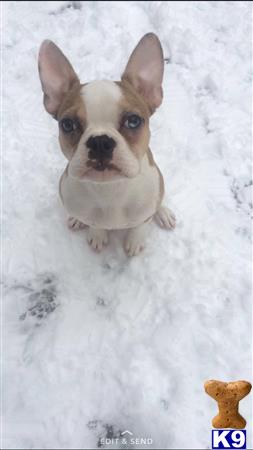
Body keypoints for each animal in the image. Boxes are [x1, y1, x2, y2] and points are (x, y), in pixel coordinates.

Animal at [38, 33, 175, 255]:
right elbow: (95, 225)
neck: (109, 191)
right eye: (67, 124)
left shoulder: (144, 214)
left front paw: (134, 242)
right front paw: (97, 235)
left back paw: (163, 213)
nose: (100, 142)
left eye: (133, 121)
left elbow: (140, 226)